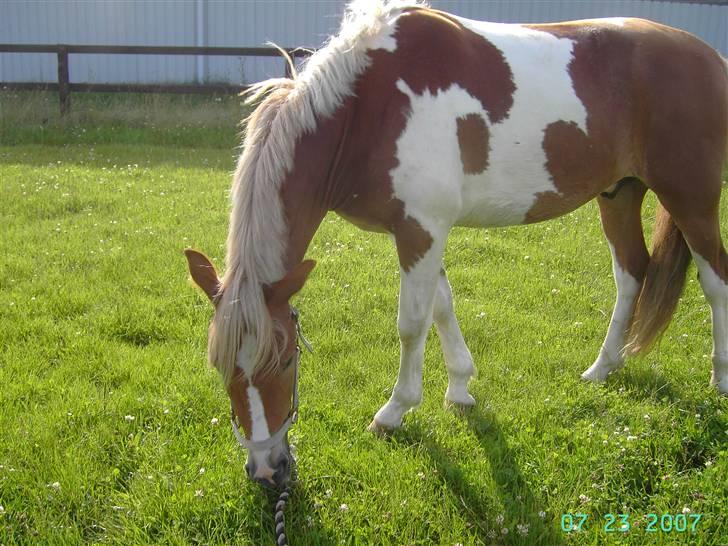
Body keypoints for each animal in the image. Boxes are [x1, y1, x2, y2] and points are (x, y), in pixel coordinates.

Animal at [186, 0, 728, 484]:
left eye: (284, 359)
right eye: (220, 366)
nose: (266, 468)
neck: (368, 107)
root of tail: (710, 57)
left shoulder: (422, 229)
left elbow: (411, 325)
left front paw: (394, 411)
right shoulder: (424, 232)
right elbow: (442, 307)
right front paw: (461, 389)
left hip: (691, 198)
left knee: (715, 280)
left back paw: (719, 380)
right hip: (619, 194)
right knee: (631, 272)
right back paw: (602, 368)